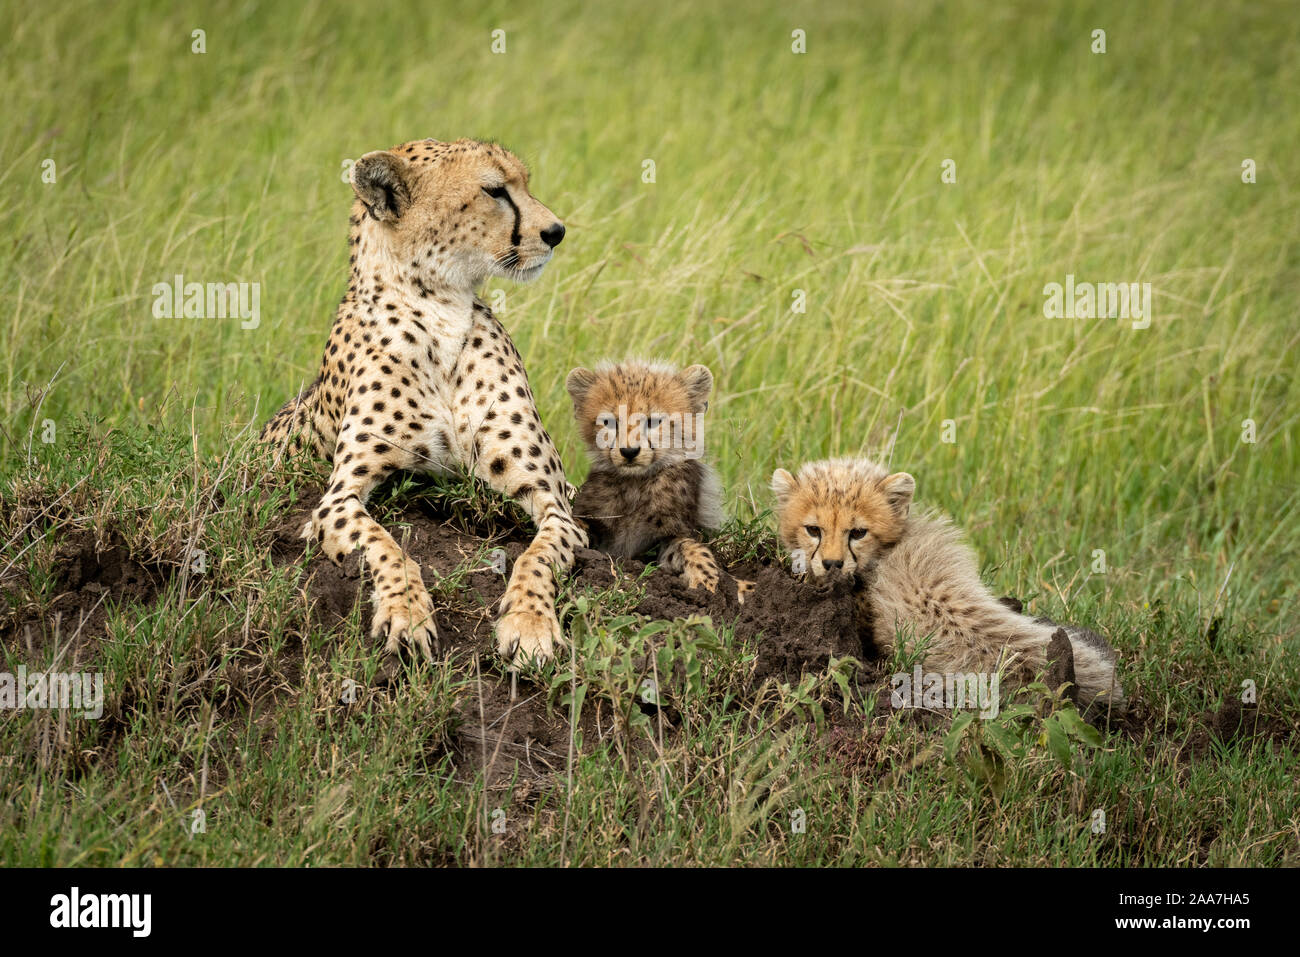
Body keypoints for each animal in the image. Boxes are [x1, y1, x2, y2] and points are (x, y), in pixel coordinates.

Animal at [261, 138, 587, 665]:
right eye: (494, 190)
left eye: (524, 183)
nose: (556, 232)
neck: (440, 308)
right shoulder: (337, 497)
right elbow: (386, 547)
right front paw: (406, 615)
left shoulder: (553, 500)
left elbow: (536, 557)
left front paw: (530, 623)